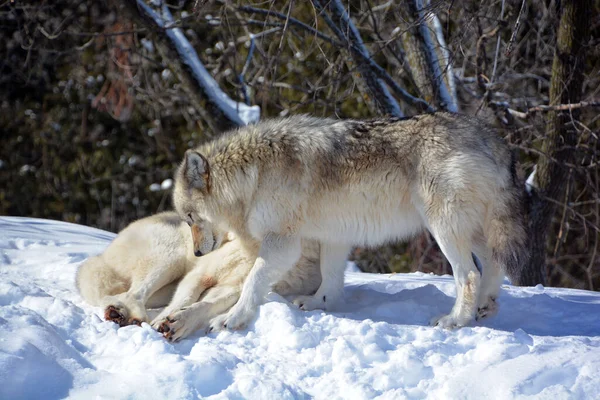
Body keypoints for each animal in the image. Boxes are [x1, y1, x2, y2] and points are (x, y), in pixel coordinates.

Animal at [77, 212, 322, 340]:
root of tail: (103, 254)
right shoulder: (201, 275)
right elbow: (185, 300)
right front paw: (165, 321)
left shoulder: (232, 289)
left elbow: (205, 305)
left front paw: (178, 324)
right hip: (170, 259)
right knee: (131, 294)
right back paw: (123, 314)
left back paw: (128, 316)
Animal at [175, 112, 528, 332]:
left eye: (190, 217)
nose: (196, 254)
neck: (253, 175)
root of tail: (494, 139)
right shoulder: (334, 235)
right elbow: (330, 278)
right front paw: (317, 304)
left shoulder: (282, 243)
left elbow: (253, 280)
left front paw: (232, 319)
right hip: (473, 229)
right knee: (493, 263)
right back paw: (485, 307)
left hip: (444, 229)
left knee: (468, 275)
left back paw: (455, 321)